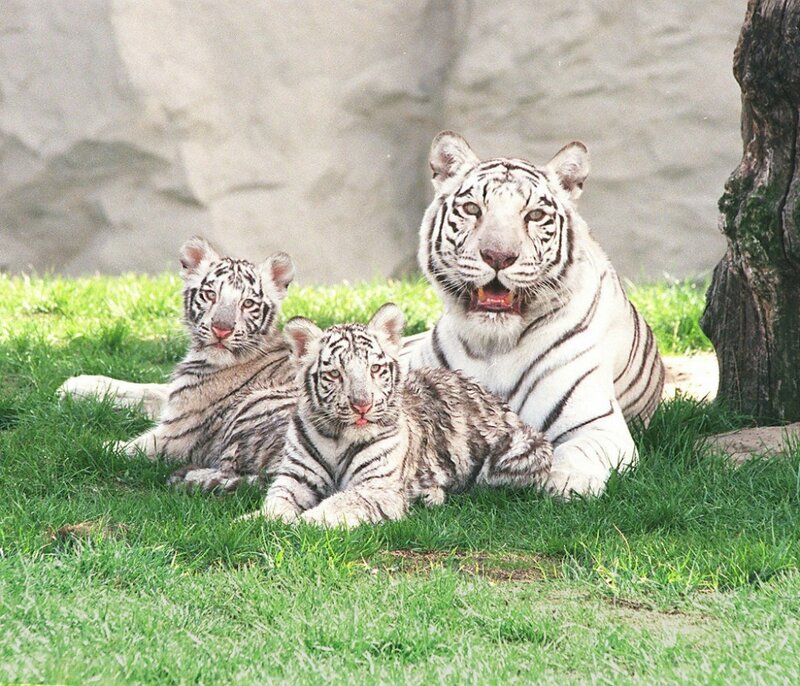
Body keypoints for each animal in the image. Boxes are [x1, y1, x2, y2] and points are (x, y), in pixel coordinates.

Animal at [74, 236, 299, 490]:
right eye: (210, 295)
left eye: (248, 303)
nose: (222, 329)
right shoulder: (179, 397)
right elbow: (149, 390)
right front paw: (75, 386)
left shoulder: (176, 434)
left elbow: (118, 448)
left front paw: (81, 445)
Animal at [251, 303, 552, 528]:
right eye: (335, 374)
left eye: (374, 369)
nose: (362, 405)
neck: (338, 439)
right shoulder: (294, 479)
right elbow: (274, 504)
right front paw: (255, 520)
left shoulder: (377, 488)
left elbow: (337, 504)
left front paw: (303, 521)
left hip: (513, 453)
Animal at [403, 131, 665, 498]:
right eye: (472, 209)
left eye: (535, 215)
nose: (498, 256)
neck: (493, 344)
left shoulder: (599, 426)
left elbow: (578, 451)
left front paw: (568, 480)